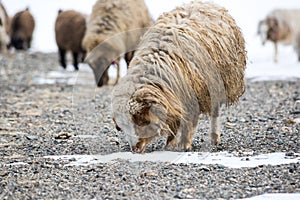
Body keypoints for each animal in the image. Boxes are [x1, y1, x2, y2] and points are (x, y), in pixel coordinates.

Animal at [111, 0, 247, 153]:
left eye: (141, 122)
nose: (135, 149)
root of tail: (206, 3)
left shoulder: (191, 97)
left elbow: (188, 122)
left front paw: (184, 144)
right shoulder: (174, 100)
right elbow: (175, 122)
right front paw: (170, 144)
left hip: (217, 86)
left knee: (215, 114)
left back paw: (214, 138)